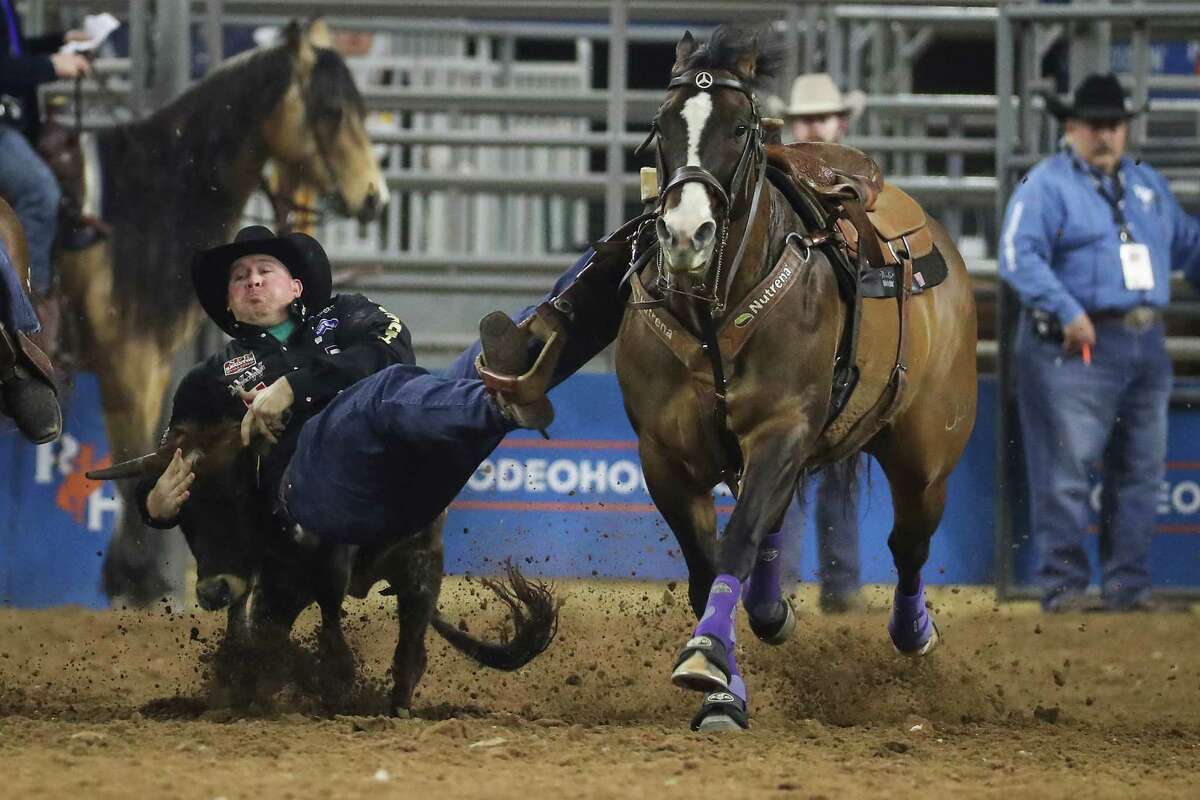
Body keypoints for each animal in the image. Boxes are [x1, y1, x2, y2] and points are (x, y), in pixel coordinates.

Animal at [56, 21, 386, 604]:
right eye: (330, 110)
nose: (374, 197)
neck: (146, 201)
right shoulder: (132, 360)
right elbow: (138, 453)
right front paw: (140, 580)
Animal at [614, 29, 979, 734]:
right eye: (661, 125)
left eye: (739, 127)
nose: (685, 234)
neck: (713, 315)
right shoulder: (664, 455)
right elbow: (709, 564)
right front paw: (726, 686)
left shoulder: (783, 429)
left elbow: (737, 542)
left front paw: (706, 655)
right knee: (775, 534)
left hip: (926, 457)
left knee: (907, 543)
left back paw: (914, 630)